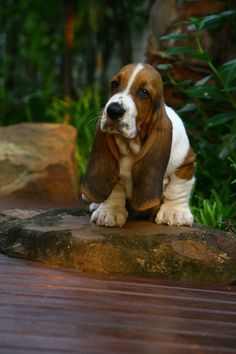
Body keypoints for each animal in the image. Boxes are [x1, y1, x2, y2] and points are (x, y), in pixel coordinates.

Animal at [81, 63, 195, 227]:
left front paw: (174, 213)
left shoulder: (185, 163)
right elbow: (115, 188)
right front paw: (109, 212)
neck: (131, 146)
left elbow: (177, 188)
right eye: (114, 84)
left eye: (144, 93)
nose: (113, 110)